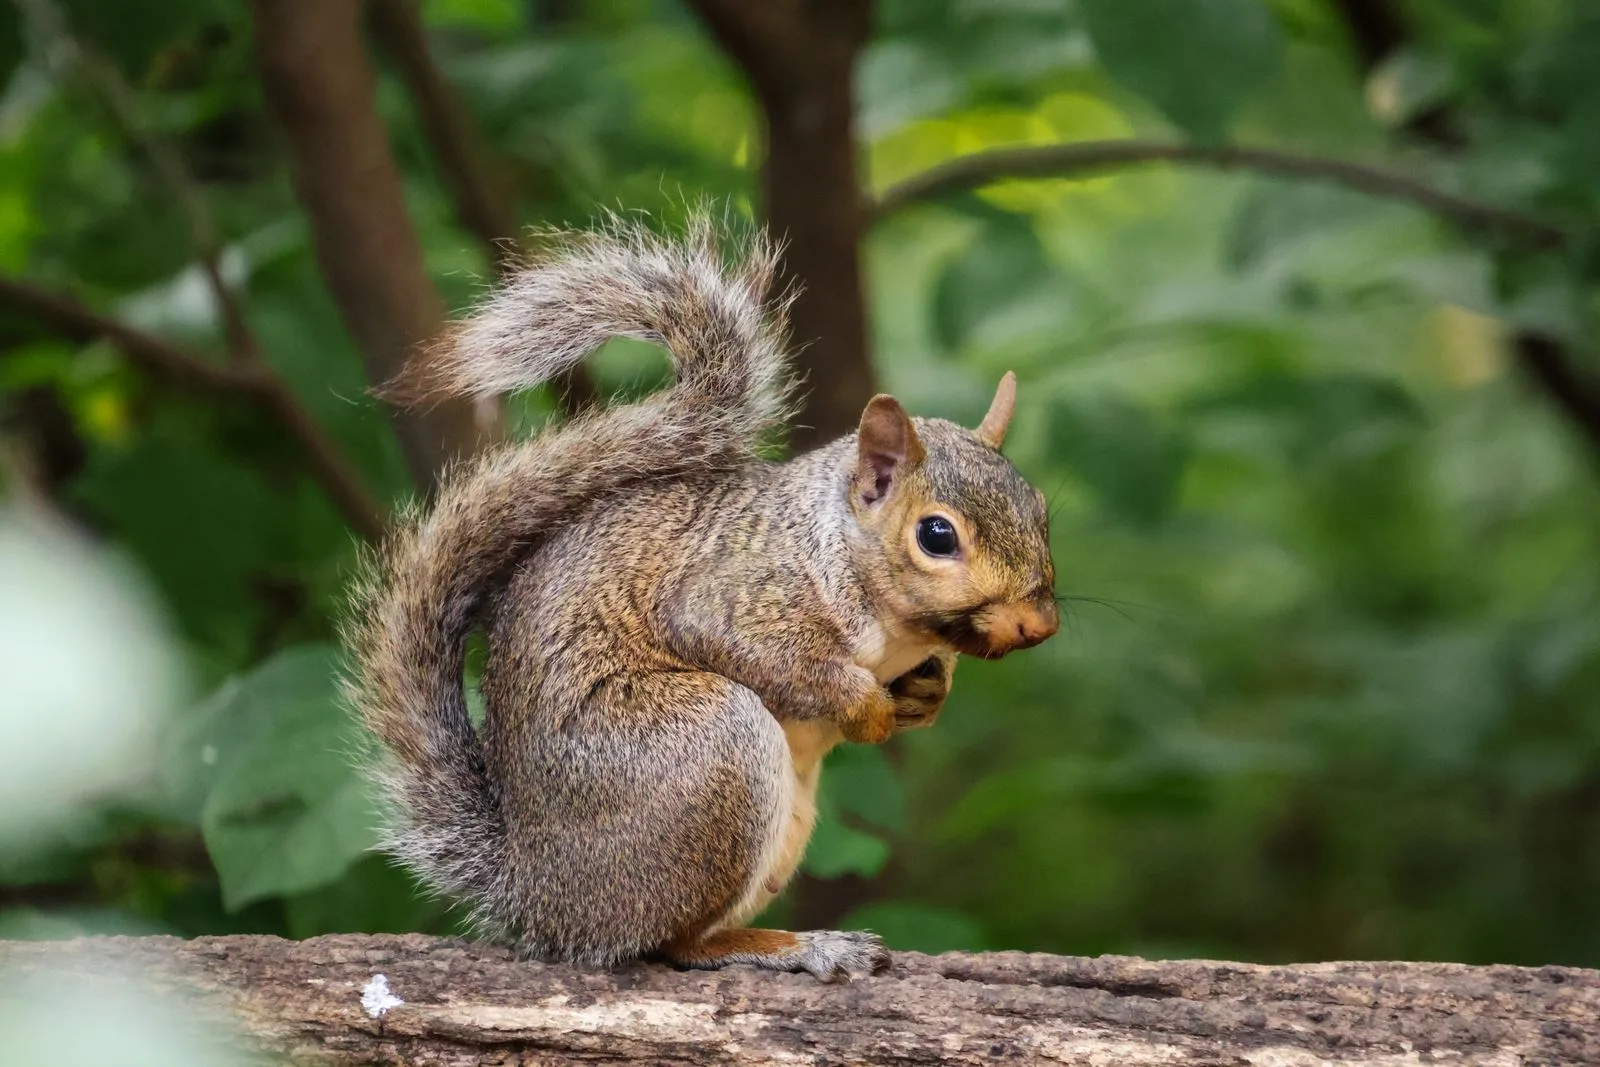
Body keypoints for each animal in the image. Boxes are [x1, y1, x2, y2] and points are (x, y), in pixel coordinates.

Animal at [343, 214, 1059, 982]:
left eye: (1041, 509)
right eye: (936, 535)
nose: (1038, 625)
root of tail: (540, 893)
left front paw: (925, 696)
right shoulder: (735, 592)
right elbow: (758, 649)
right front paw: (866, 708)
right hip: (709, 747)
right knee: (673, 943)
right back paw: (798, 946)